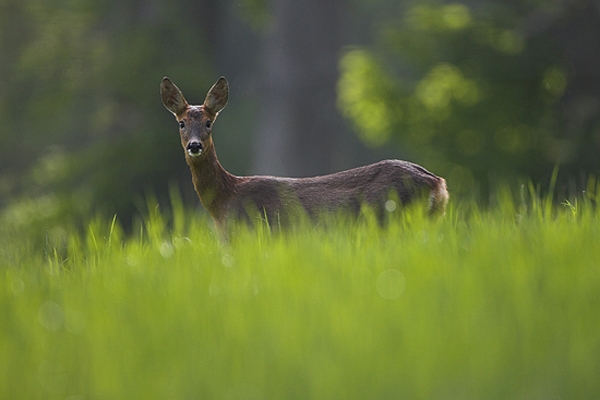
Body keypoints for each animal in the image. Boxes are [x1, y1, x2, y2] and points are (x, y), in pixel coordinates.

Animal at [162, 76, 448, 238]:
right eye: (181, 123)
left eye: (209, 122)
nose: (195, 146)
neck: (224, 201)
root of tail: (438, 184)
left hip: (393, 218)